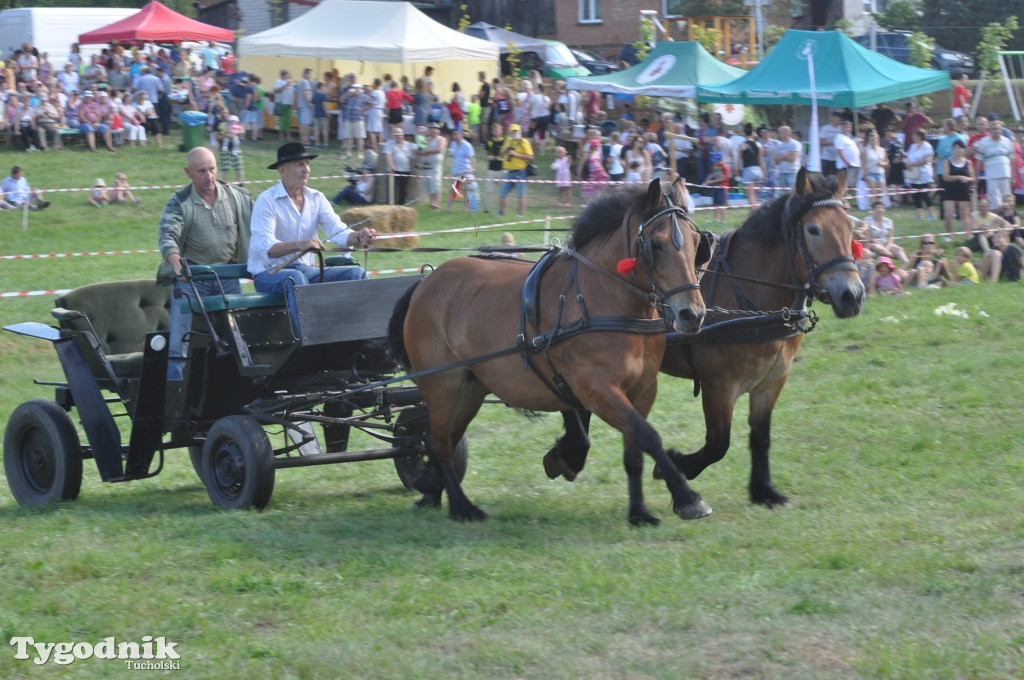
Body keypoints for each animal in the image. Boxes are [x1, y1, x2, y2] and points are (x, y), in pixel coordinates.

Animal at [391, 178, 712, 522]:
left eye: (697, 243)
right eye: (657, 244)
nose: (692, 314)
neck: (602, 297)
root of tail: (427, 281)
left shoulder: (642, 389)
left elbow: (635, 450)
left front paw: (639, 511)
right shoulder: (597, 390)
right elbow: (649, 436)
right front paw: (688, 497)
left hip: (470, 388)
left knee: (445, 441)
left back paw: (434, 492)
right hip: (442, 385)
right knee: (436, 444)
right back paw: (461, 505)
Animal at [544, 170, 864, 507]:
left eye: (850, 225)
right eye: (814, 229)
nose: (852, 295)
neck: (750, 295)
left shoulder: (772, 380)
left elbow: (760, 436)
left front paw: (764, 489)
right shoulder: (719, 385)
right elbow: (718, 444)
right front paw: (676, 466)